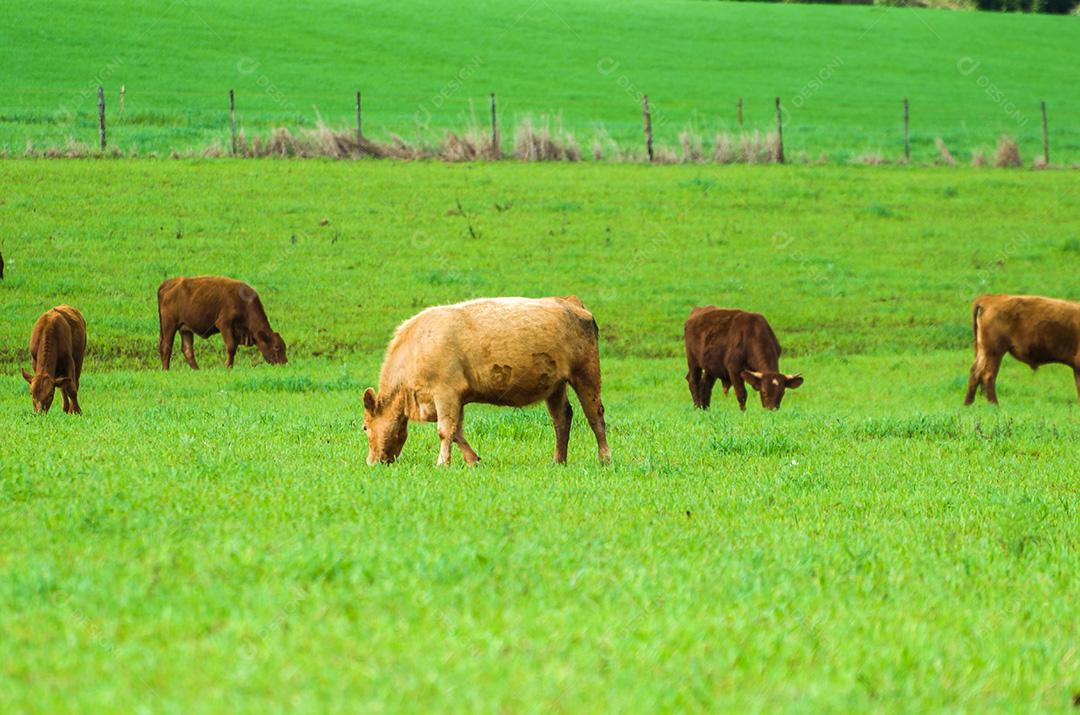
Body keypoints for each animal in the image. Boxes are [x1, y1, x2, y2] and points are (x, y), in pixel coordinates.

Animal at [155, 276, 287, 371]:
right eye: (276, 347)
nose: (284, 363)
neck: (245, 304)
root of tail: (168, 284)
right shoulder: (225, 325)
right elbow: (231, 347)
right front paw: (227, 366)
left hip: (185, 329)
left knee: (187, 350)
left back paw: (197, 370)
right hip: (169, 326)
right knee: (166, 347)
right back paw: (166, 370)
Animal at [362, 295, 613, 468]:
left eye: (364, 427)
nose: (371, 462)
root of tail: (569, 302)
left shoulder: (446, 394)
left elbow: (445, 430)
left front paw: (442, 463)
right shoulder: (455, 400)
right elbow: (457, 432)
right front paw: (473, 460)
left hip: (586, 375)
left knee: (595, 416)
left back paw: (604, 459)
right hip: (555, 385)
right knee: (561, 418)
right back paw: (558, 461)